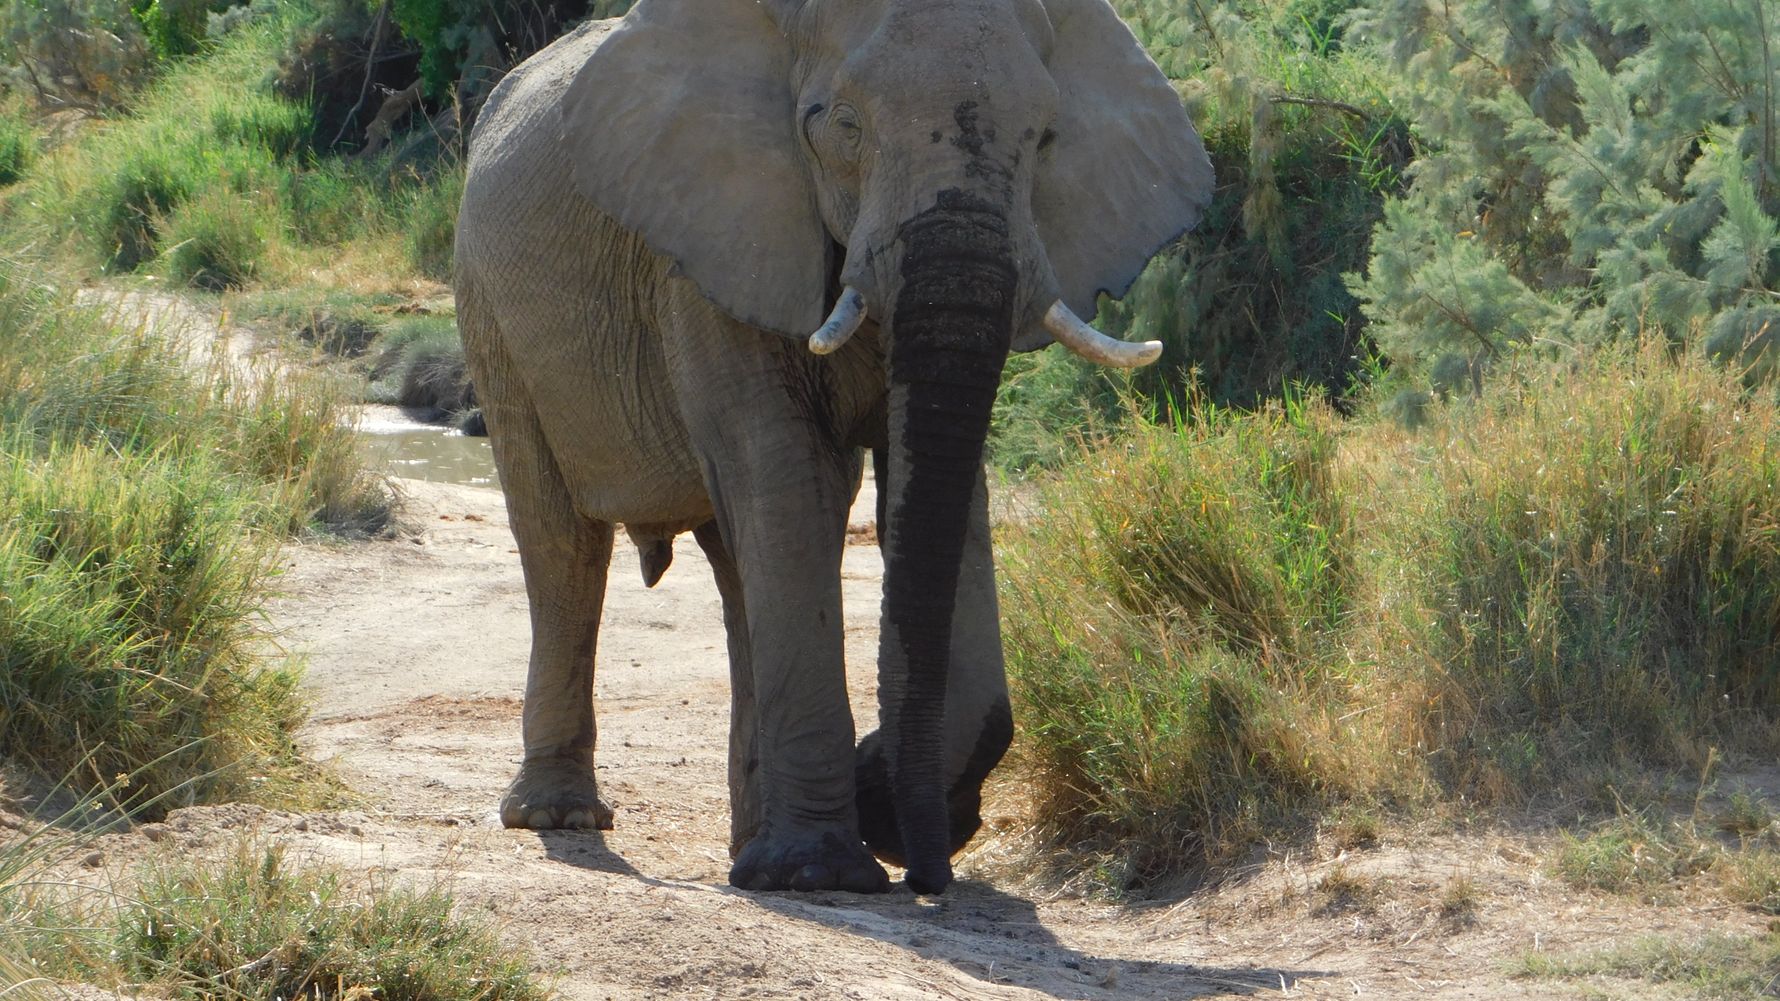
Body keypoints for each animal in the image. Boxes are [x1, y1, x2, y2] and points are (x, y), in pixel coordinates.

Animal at [453, 0, 1212, 895]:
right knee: (563, 543)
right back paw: (561, 817)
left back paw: (749, 843)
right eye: (842, 126)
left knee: (734, 563)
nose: (929, 876)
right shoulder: (710, 248)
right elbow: (785, 473)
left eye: (1045, 137)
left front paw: (876, 811)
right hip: (489, 313)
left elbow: (932, 487)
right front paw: (821, 869)